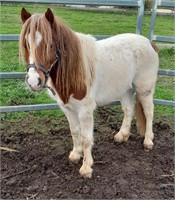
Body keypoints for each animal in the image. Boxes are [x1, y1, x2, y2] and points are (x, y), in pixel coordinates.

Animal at [19, 7, 159, 178]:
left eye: (50, 45)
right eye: (27, 44)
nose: (33, 81)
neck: (74, 68)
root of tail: (149, 43)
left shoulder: (85, 110)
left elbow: (86, 138)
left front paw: (86, 167)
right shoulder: (67, 108)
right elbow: (75, 132)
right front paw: (75, 155)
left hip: (144, 90)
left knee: (149, 112)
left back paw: (148, 141)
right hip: (125, 89)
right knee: (128, 110)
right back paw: (122, 136)